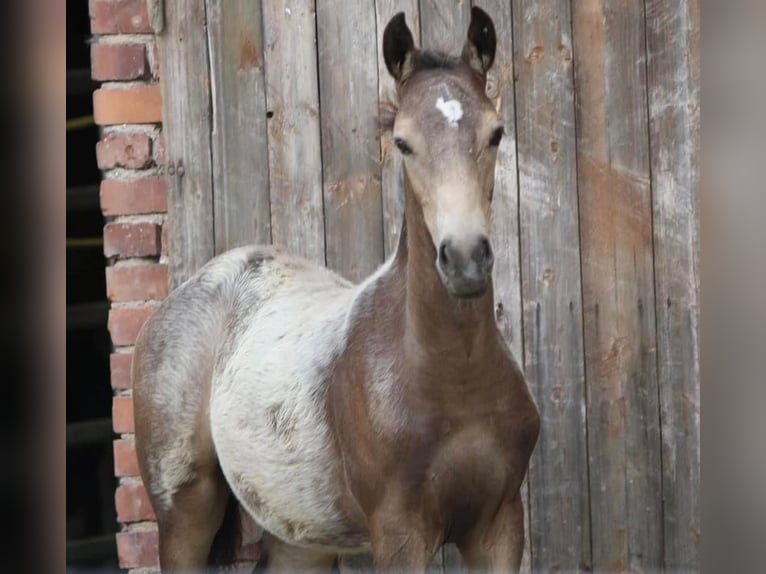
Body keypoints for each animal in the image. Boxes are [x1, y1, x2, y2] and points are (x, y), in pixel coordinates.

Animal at [134, 6, 540, 572]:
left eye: (496, 134)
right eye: (403, 142)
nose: (464, 260)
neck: (449, 377)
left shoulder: (500, 525)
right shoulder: (399, 534)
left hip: (299, 532)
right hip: (184, 510)